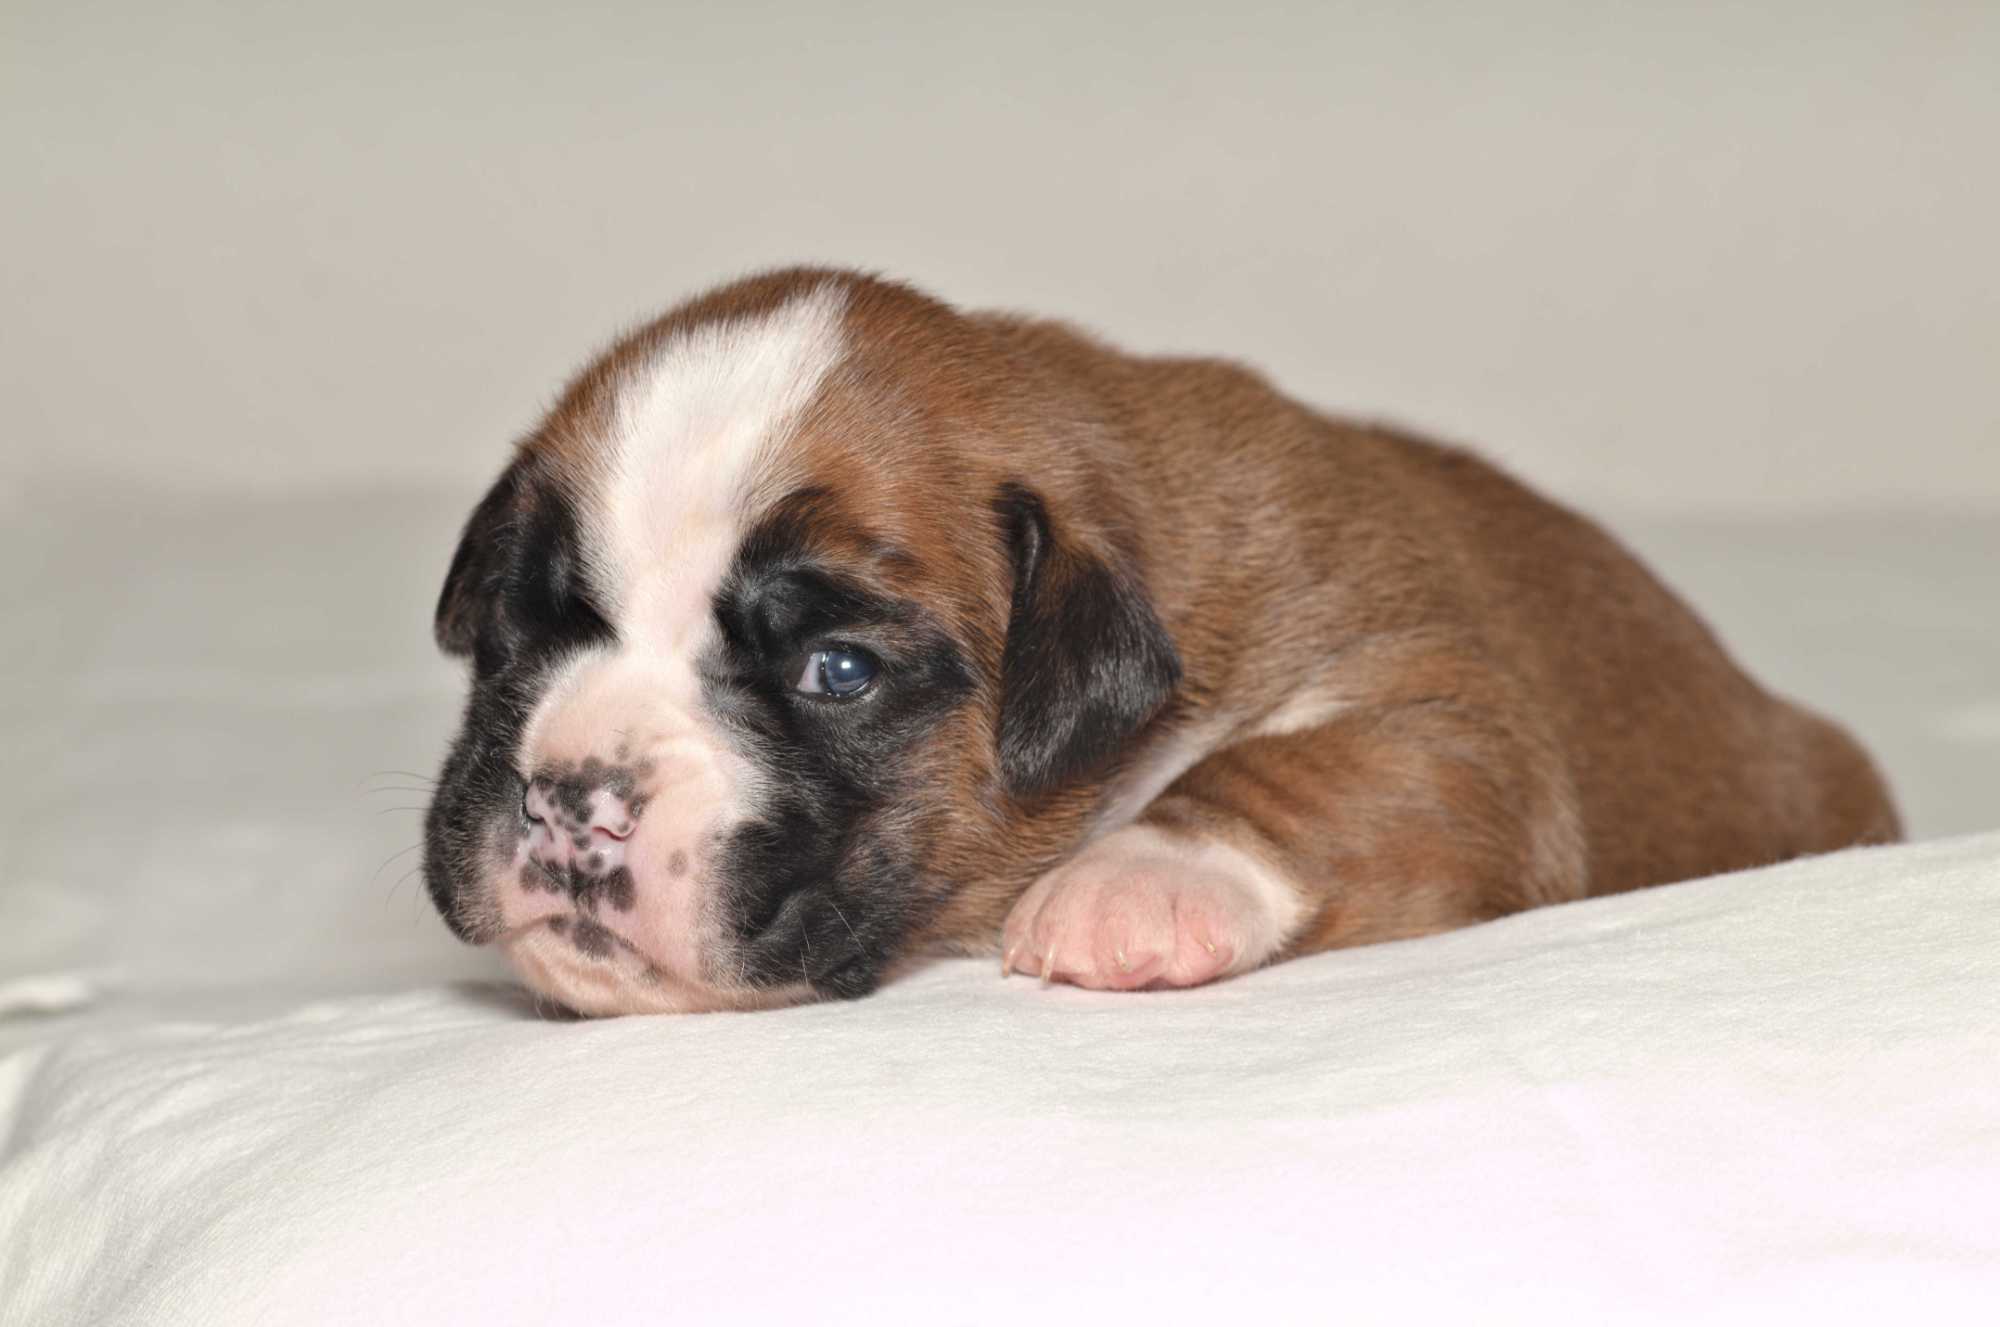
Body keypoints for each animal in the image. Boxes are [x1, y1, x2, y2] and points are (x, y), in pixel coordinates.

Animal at [422, 267, 1900, 1016]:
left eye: (836, 672)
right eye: (520, 627)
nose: (566, 795)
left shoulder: (1447, 713)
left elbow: (1290, 767)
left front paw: (1134, 878)